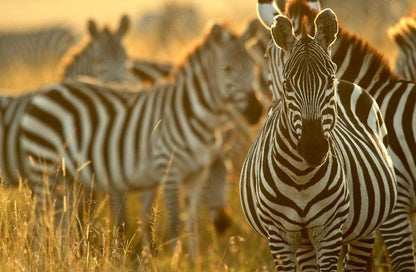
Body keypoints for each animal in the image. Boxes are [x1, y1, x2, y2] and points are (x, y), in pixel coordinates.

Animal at [17, 22, 258, 260]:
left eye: (254, 66)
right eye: (227, 69)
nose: (256, 110)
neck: (194, 113)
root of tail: (45, 92)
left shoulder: (196, 173)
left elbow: (192, 223)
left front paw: (193, 261)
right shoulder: (168, 169)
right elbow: (175, 222)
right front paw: (175, 261)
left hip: (64, 177)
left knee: (60, 219)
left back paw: (65, 258)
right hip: (44, 169)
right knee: (38, 222)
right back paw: (39, 260)